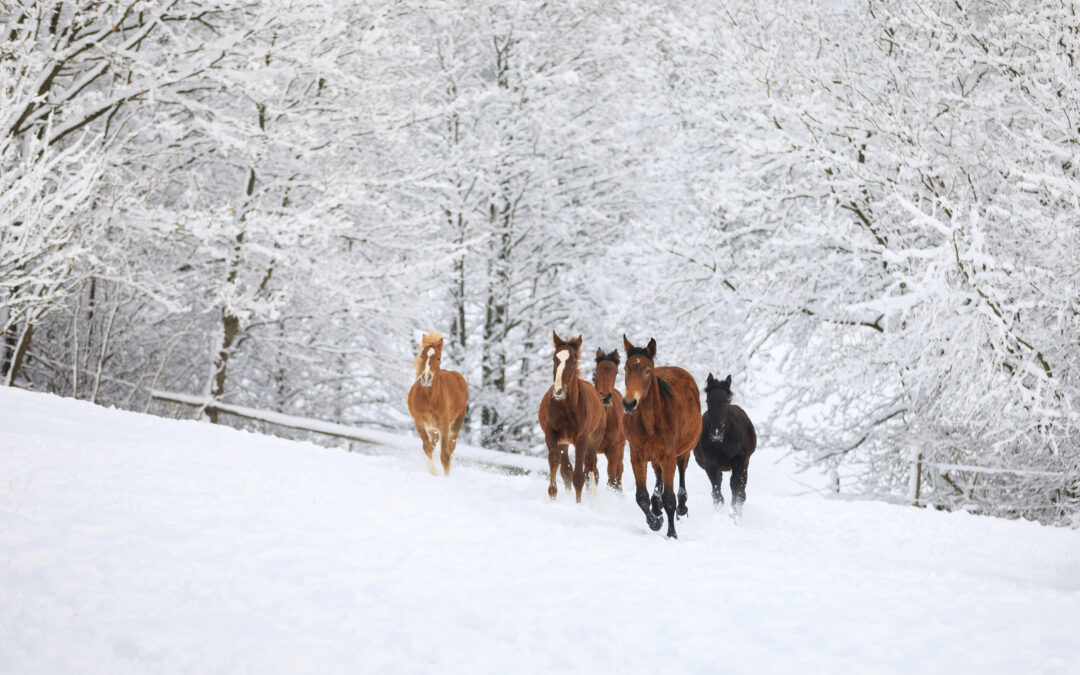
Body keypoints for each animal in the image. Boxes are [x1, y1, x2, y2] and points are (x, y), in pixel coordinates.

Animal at [406, 332, 466, 473]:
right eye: (422, 356)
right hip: (433, 428)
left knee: (451, 448)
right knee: (433, 444)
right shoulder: (420, 423)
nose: (426, 377)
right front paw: (433, 472)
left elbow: (445, 456)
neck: (430, 399)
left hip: (456, 424)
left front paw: (446, 476)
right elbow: (427, 447)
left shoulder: (444, 426)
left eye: (439, 358)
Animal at [537, 332, 609, 501]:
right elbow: (555, 462)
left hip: (594, 440)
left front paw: (579, 504)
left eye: (574, 360)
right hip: (564, 442)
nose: (558, 390)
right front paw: (553, 496)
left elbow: (579, 476)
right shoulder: (551, 434)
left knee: (590, 468)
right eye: (554, 358)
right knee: (567, 470)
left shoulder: (582, 438)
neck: (566, 408)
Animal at [622, 334, 704, 537]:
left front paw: (671, 534)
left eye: (647, 370)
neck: (651, 423)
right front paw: (655, 522)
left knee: (681, 474)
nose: (629, 403)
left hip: (682, 453)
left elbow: (669, 499)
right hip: (654, 458)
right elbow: (641, 497)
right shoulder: (637, 457)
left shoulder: (668, 458)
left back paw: (682, 507)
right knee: (657, 476)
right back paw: (656, 507)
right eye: (626, 368)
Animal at [691, 371, 760, 518]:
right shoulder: (711, 465)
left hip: (745, 464)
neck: (721, 444)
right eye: (708, 401)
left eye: (727, 401)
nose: (717, 431)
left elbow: (736, 490)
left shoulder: (739, 462)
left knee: (741, 492)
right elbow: (717, 494)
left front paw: (733, 515)